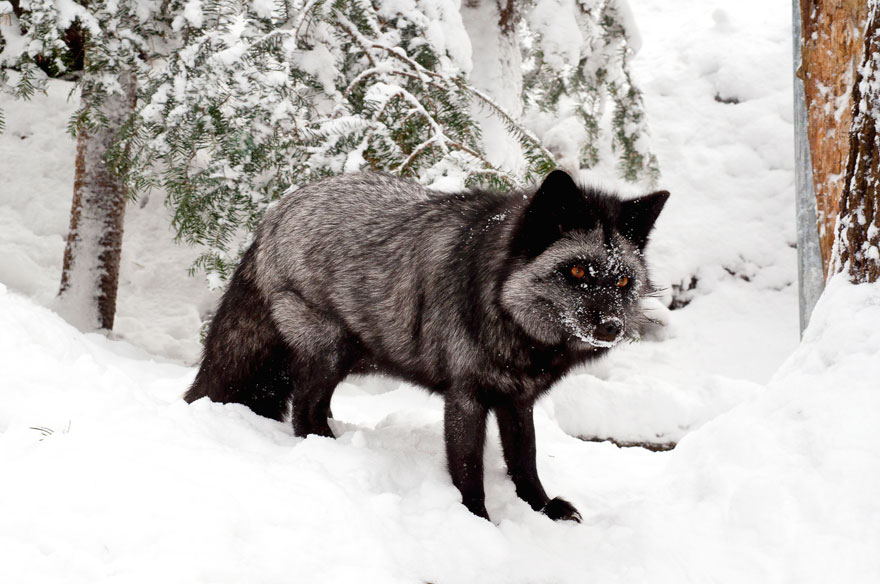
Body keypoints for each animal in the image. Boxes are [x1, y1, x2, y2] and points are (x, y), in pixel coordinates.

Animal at [185, 169, 668, 522]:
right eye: (577, 272)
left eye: (623, 281)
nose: (611, 327)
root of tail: (273, 214)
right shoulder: (465, 396)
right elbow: (469, 469)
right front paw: (476, 523)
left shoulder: (517, 399)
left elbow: (524, 459)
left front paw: (542, 509)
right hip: (329, 347)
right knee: (304, 411)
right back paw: (330, 450)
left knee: (315, 406)